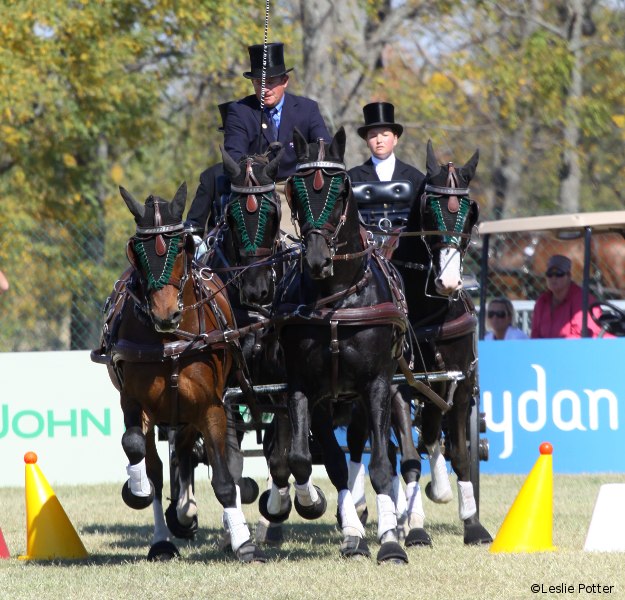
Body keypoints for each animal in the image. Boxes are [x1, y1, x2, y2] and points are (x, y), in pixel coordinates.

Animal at [94, 184, 264, 564]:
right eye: (137, 250)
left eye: (180, 247)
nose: (165, 314)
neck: (171, 341)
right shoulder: (134, 403)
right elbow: (136, 450)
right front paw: (137, 488)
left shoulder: (212, 406)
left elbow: (225, 479)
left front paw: (243, 543)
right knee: (161, 464)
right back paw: (164, 535)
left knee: (194, 453)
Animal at [266, 126, 412, 564]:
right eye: (295, 189)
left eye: (342, 189)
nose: (317, 258)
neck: (337, 300)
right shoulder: (304, 389)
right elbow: (306, 459)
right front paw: (317, 506)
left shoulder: (376, 385)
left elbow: (380, 465)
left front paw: (391, 542)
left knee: (385, 453)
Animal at [388, 139, 490, 544]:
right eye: (429, 211)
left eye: (469, 211)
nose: (448, 283)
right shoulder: (398, 385)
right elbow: (409, 458)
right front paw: (415, 525)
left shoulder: (459, 381)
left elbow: (459, 452)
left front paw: (473, 523)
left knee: (431, 432)